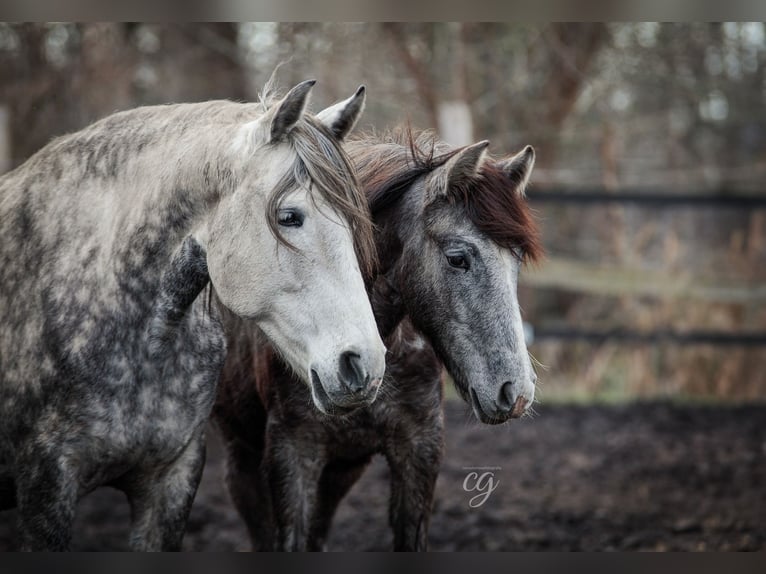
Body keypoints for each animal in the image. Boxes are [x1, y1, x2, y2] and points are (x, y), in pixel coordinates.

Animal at [213, 130, 544, 552]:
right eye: (457, 258)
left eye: (516, 260)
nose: (515, 392)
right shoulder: (292, 454)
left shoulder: (420, 449)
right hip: (242, 456)